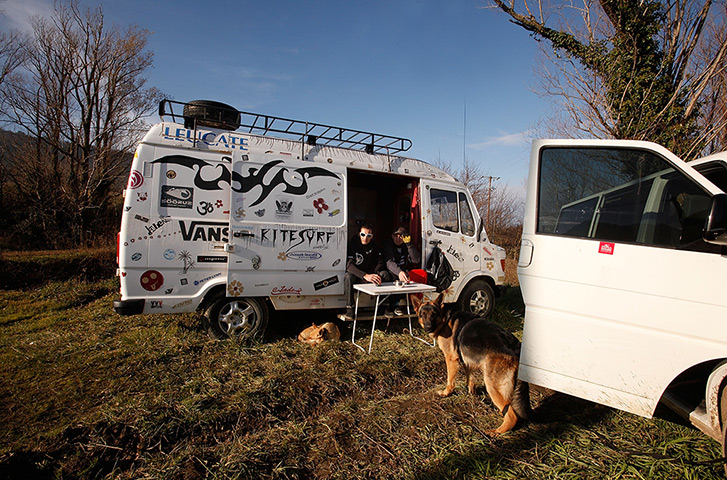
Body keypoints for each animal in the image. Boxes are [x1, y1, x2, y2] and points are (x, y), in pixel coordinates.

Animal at [412, 292, 532, 436]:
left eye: (433, 314)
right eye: (422, 314)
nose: (428, 327)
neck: (445, 319)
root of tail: (516, 347)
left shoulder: (451, 359)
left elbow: (450, 380)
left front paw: (446, 393)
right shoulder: (467, 360)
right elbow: (470, 378)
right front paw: (471, 393)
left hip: (491, 385)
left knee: (512, 416)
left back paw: (496, 431)